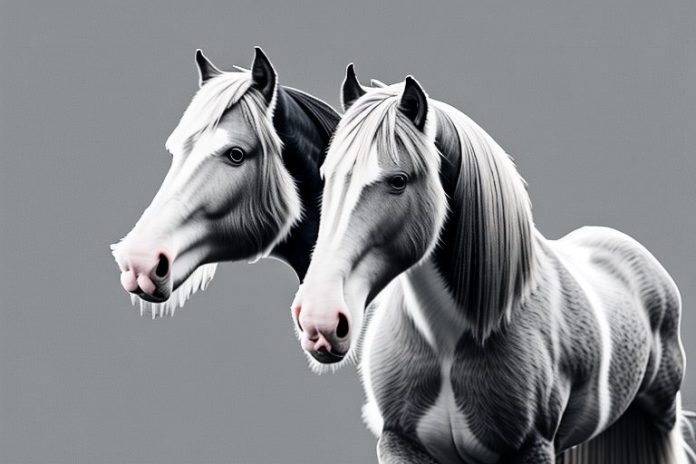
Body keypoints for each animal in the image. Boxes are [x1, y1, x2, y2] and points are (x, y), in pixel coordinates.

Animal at [290, 66, 693, 463]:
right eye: (326, 177)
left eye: (399, 180)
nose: (319, 321)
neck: (450, 340)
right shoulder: (399, 442)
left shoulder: (531, 448)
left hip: (661, 414)